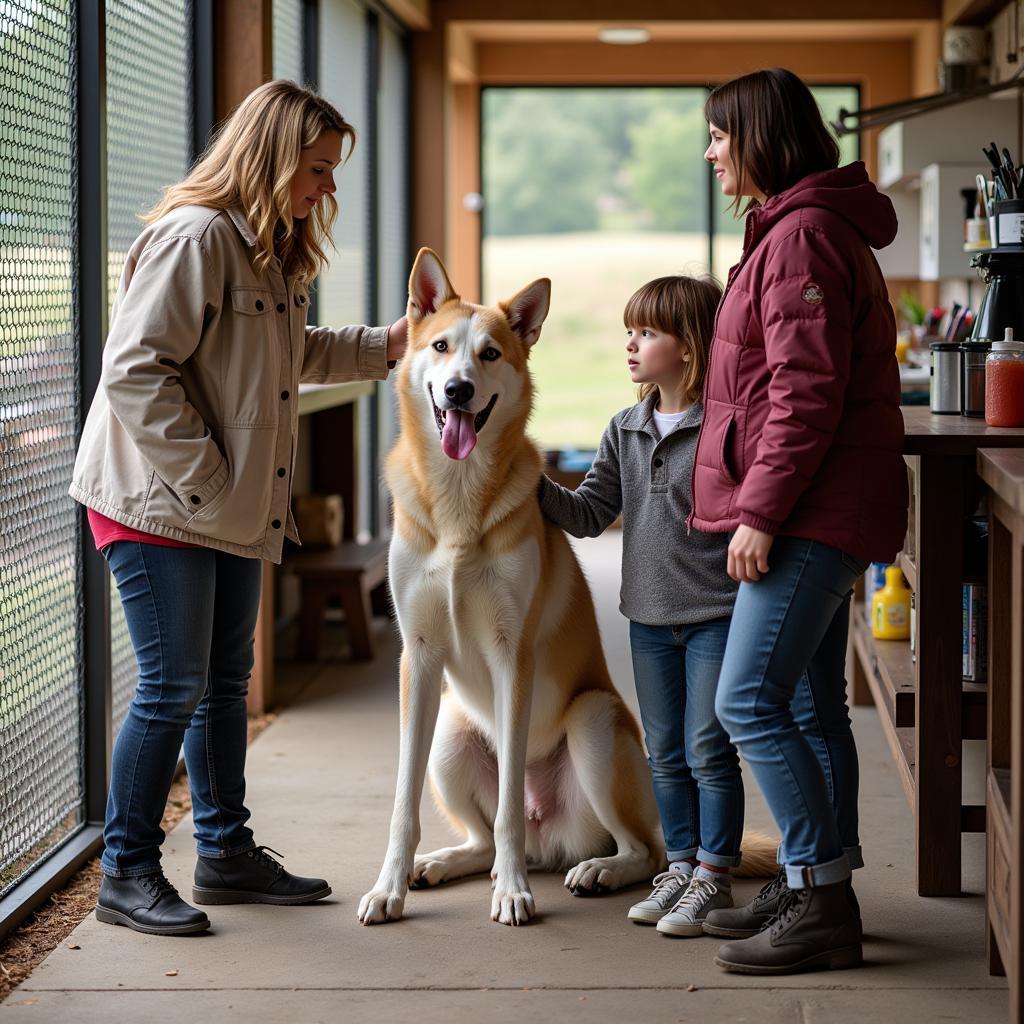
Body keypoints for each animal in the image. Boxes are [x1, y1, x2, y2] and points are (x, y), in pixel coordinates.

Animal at [360, 249, 774, 929]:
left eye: (490, 354)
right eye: (442, 347)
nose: (459, 389)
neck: (457, 497)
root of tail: (547, 838)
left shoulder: (514, 658)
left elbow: (505, 807)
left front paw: (512, 893)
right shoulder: (417, 659)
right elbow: (402, 800)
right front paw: (387, 886)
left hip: (593, 721)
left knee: (639, 846)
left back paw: (597, 870)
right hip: (450, 732)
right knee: (485, 838)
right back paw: (447, 862)